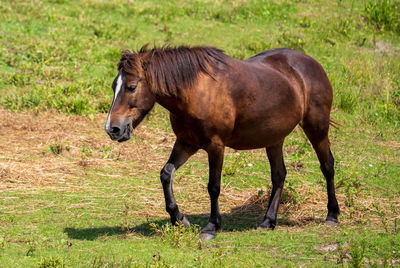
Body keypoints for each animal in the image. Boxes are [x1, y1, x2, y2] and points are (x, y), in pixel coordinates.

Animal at [104, 46, 340, 241]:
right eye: (114, 86)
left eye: (131, 87)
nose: (112, 129)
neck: (196, 91)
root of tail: (311, 63)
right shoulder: (186, 143)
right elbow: (166, 174)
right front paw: (180, 219)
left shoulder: (216, 146)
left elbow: (213, 186)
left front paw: (211, 227)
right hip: (274, 140)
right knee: (279, 175)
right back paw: (267, 222)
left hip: (316, 128)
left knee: (327, 166)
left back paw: (332, 215)